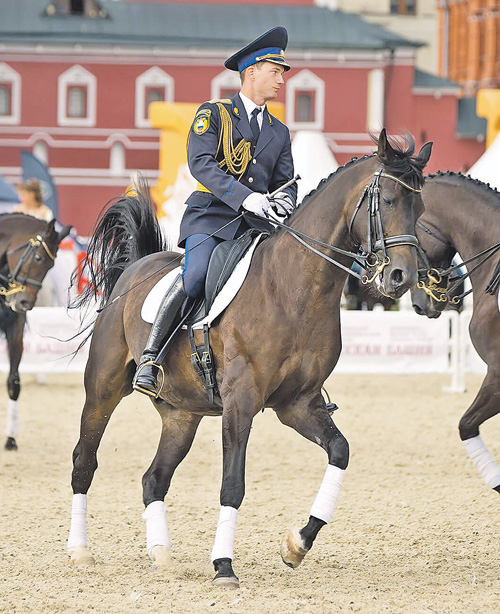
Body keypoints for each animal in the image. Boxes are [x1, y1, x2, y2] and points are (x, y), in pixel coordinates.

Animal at [0, 214, 72, 450]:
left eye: (51, 265)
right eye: (38, 258)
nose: (26, 303)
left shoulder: (15, 327)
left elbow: (14, 382)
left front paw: (11, 438)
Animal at [68, 132, 432, 588]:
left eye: (420, 208)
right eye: (387, 199)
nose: (402, 278)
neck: (294, 287)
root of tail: (135, 270)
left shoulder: (299, 404)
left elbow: (340, 451)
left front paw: (297, 544)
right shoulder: (241, 403)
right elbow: (233, 485)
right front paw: (224, 566)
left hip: (182, 415)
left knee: (154, 479)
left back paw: (162, 555)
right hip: (103, 390)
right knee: (85, 461)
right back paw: (80, 551)